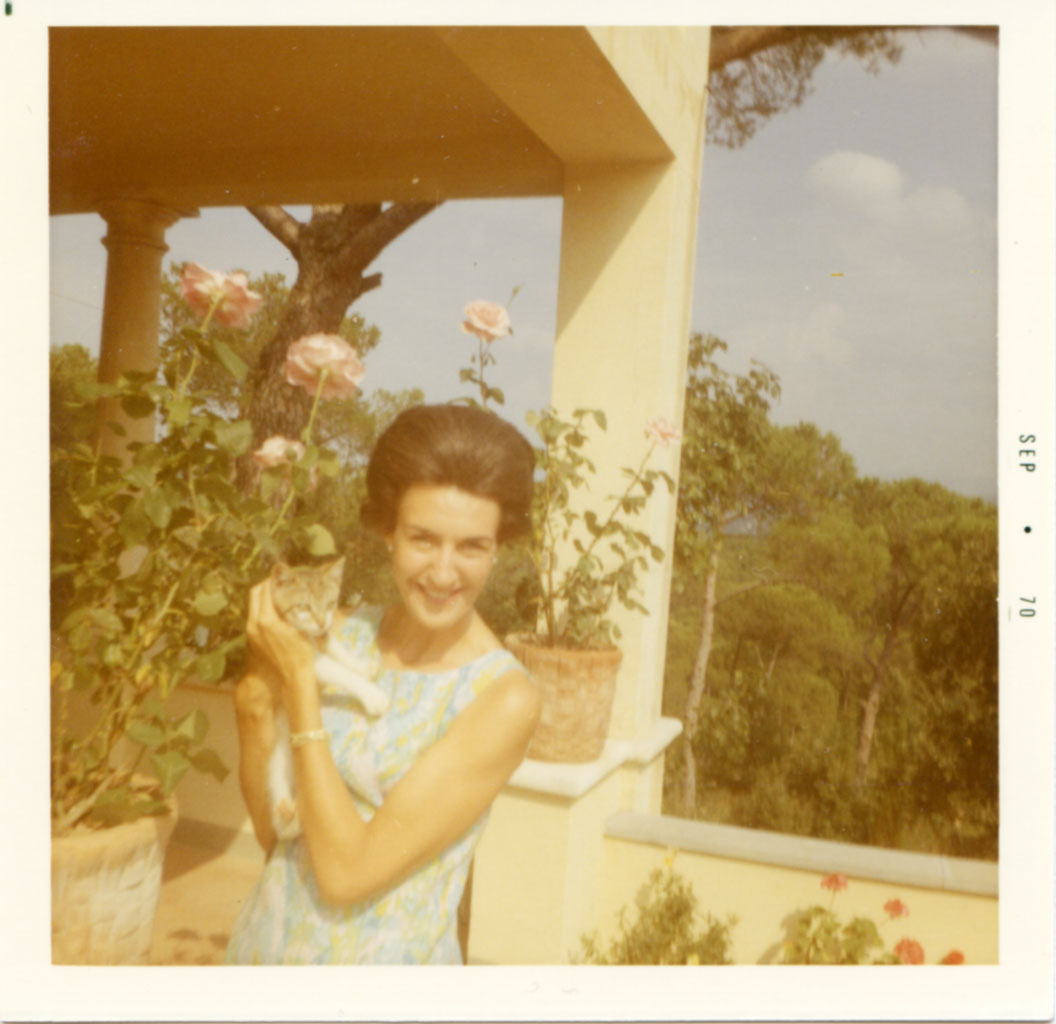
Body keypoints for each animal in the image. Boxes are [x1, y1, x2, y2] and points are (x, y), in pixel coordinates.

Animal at [266, 556, 388, 840]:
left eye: (330, 603)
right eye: (304, 606)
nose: (322, 622)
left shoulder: (323, 639)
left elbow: (338, 651)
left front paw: (362, 667)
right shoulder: (306, 659)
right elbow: (338, 671)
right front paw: (372, 695)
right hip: (275, 761)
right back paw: (285, 815)